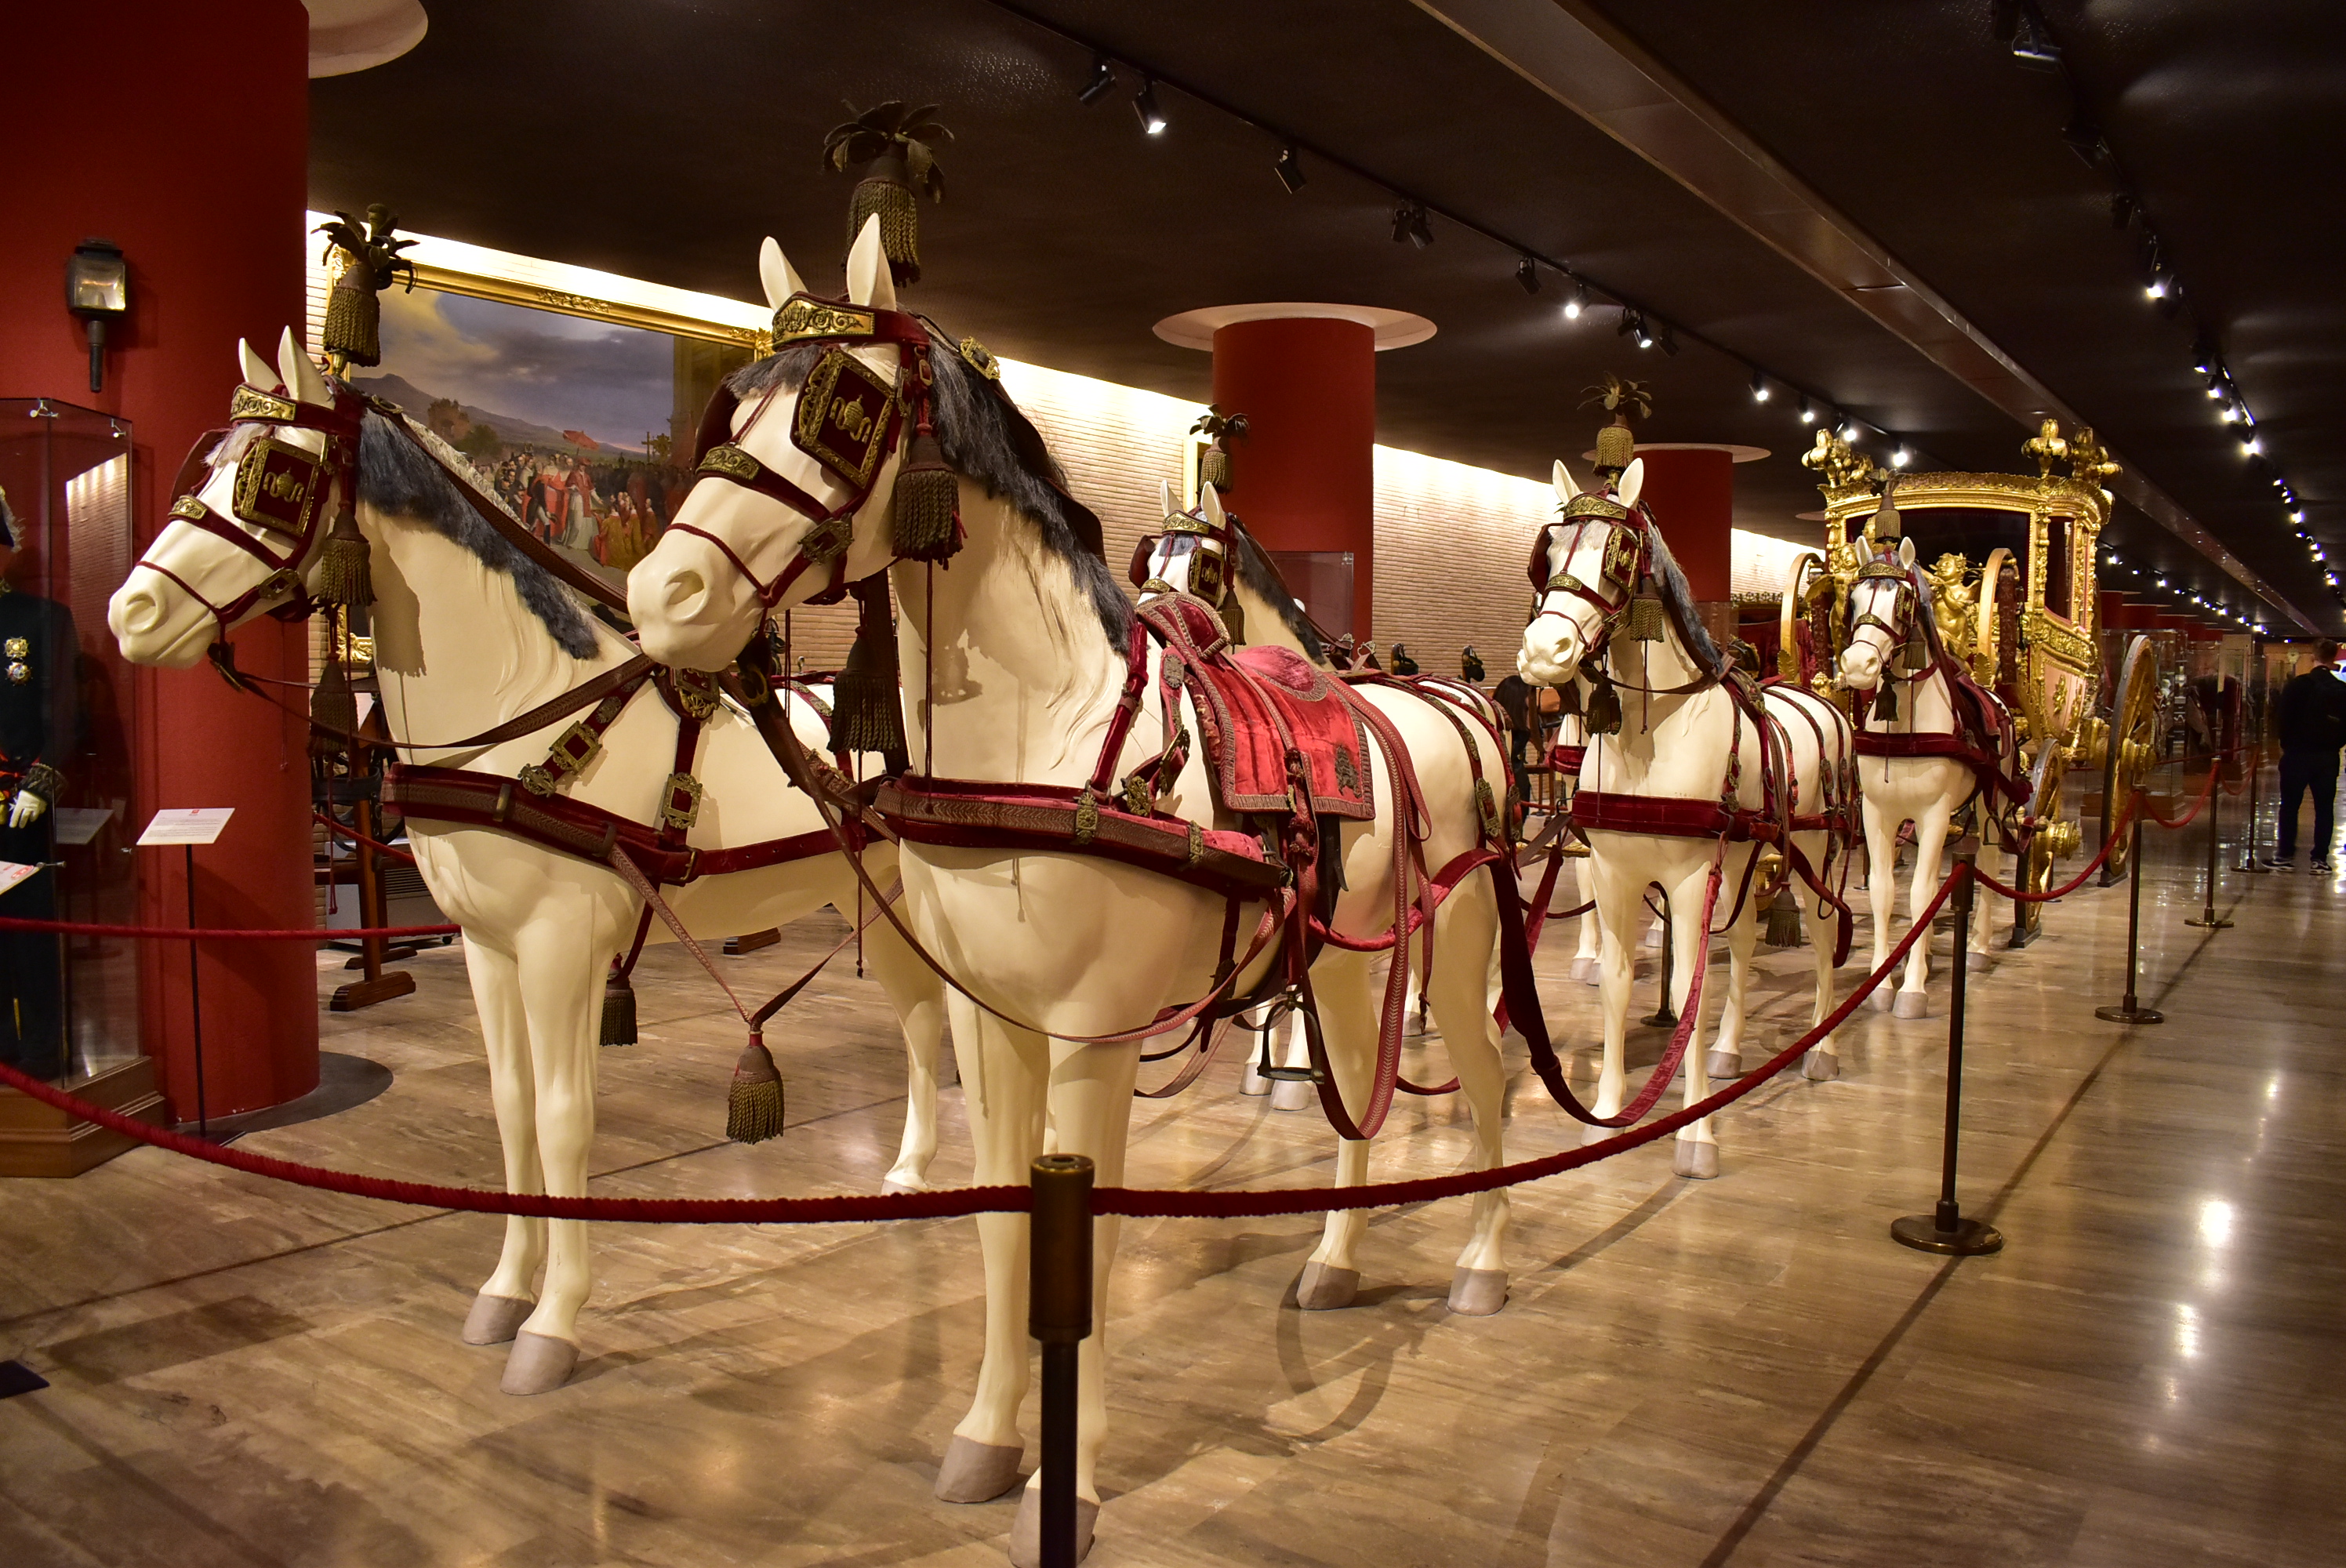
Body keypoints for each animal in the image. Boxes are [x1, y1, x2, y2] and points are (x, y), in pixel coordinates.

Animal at [106, 328, 951, 1396]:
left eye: (274, 478)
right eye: (208, 465)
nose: (129, 611)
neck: (523, 713)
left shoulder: (561, 946)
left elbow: (562, 1116)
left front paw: (553, 1323)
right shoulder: (488, 944)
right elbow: (511, 1111)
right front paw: (505, 1291)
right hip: (867, 901)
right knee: (923, 1018)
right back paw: (913, 1171)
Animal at [625, 221, 1514, 1562]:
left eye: (843, 410)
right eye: (735, 406)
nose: (662, 598)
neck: (1048, 736)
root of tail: (1445, 705)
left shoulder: (1095, 1037)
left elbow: (1082, 1243)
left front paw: (1073, 1483)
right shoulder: (993, 1026)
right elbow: (1006, 1227)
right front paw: (990, 1441)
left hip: (1450, 946)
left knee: (1491, 1077)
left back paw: (1478, 1263)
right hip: (1346, 960)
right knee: (1357, 1085)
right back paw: (1338, 1260)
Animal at [1518, 456, 1854, 1175]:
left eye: (1617, 554)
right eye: (1549, 552)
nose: (1543, 652)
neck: (1653, 734)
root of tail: (1820, 698)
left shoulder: (1693, 877)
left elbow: (1688, 991)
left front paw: (1696, 1132)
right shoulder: (1615, 873)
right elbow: (1619, 985)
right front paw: (1608, 1113)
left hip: (1811, 852)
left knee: (1819, 937)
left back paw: (1821, 1047)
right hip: (1745, 857)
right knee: (1750, 937)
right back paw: (1730, 1051)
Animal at [1835, 536, 2023, 1013]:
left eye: (1901, 603)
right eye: (1854, 599)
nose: (1859, 665)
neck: (1906, 725)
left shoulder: (1935, 812)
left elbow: (1920, 894)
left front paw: (1912, 990)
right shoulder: (1878, 814)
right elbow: (1884, 891)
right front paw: (1881, 983)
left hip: (1990, 804)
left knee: (1988, 863)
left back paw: (1978, 948)